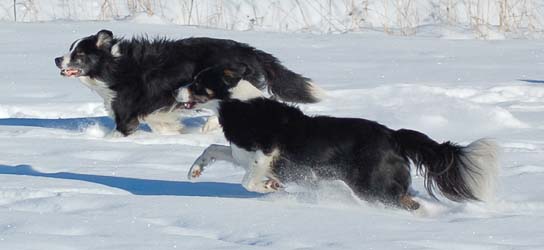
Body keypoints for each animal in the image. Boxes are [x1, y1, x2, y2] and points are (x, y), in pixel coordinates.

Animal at [54, 30, 324, 137]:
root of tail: (250, 51)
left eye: (78, 54)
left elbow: (120, 130)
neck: (112, 67)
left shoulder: (126, 112)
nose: (56, 59)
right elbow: (161, 123)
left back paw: (209, 125)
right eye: (70, 49)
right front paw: (175, 133)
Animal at [181, 63, 500, 210]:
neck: (238, 104)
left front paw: (272, 186)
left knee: (408, 203)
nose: (176, 91)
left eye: (197, 83)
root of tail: (393, 135)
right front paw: (194, 171)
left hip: (373, 186)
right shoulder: (241, 153)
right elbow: (212, 149)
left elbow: (248, 181)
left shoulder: (266, 153)